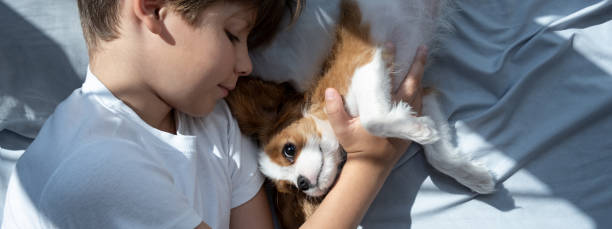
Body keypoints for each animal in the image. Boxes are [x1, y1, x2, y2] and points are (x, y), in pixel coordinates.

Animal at [227, 0, 494, 227]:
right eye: (292, 188)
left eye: (289, 150)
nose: (303, 183)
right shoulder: (422, 97)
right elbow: (438, 155)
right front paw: (474, 175)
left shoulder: (366, 62)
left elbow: (371, 120)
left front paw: (418, 131)